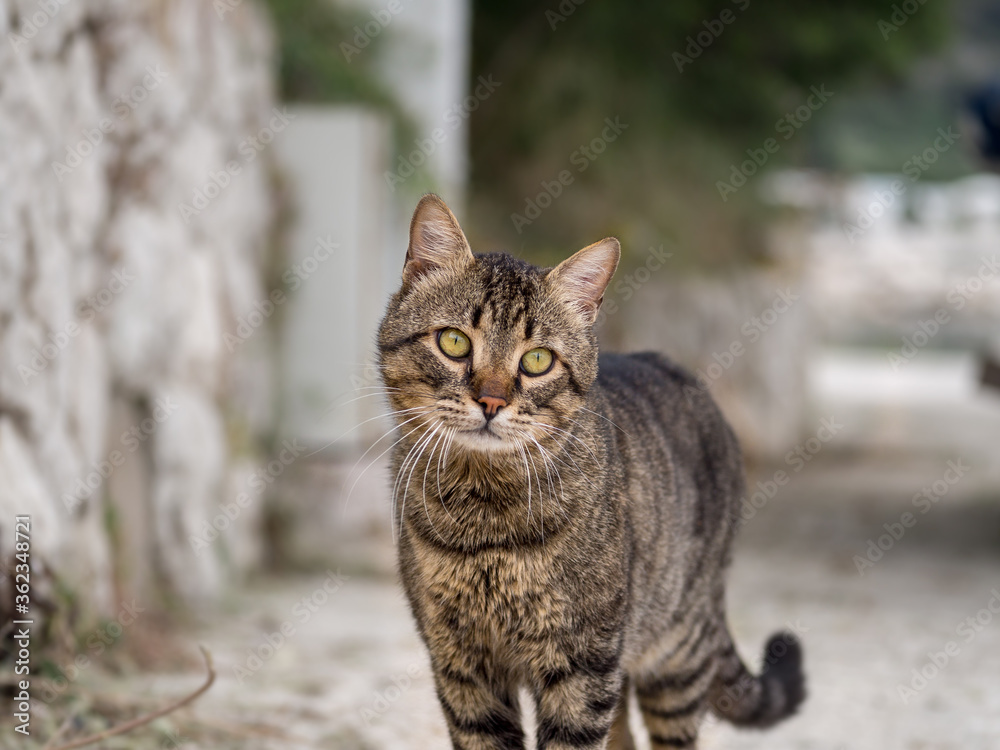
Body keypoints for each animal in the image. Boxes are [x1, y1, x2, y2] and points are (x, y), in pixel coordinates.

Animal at [376, 195, 804, 750]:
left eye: (537, 360)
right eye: (453, 342)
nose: (491, 401)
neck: (484, 514)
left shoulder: (582, 665)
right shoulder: (462, 668)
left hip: (675, 655)